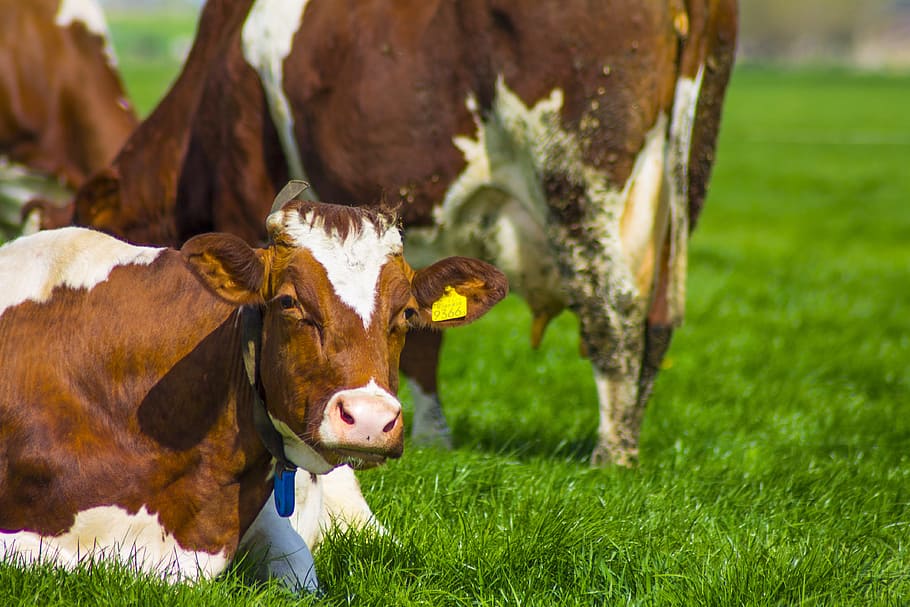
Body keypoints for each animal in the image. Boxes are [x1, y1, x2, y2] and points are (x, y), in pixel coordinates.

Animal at [66, 0, 738, 467]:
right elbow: (420, 338)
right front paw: (435, 437)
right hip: (683, 180)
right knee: (656, 323)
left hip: (573, 174)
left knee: (613, 313)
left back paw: (611, 456)